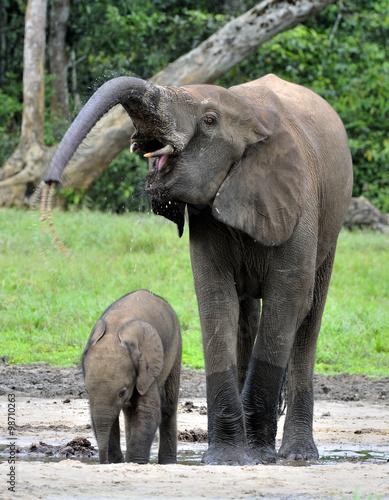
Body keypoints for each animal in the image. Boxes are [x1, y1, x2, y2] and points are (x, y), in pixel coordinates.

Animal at [82, 290, 182, 464]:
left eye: (122, 392)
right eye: (87, 391)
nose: (104, 462)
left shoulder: (146, 368)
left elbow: (148, 411)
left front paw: (134, 462)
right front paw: (118, 462)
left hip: (176, 348)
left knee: (168, 407)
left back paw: (168, 463)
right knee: (130, 412)